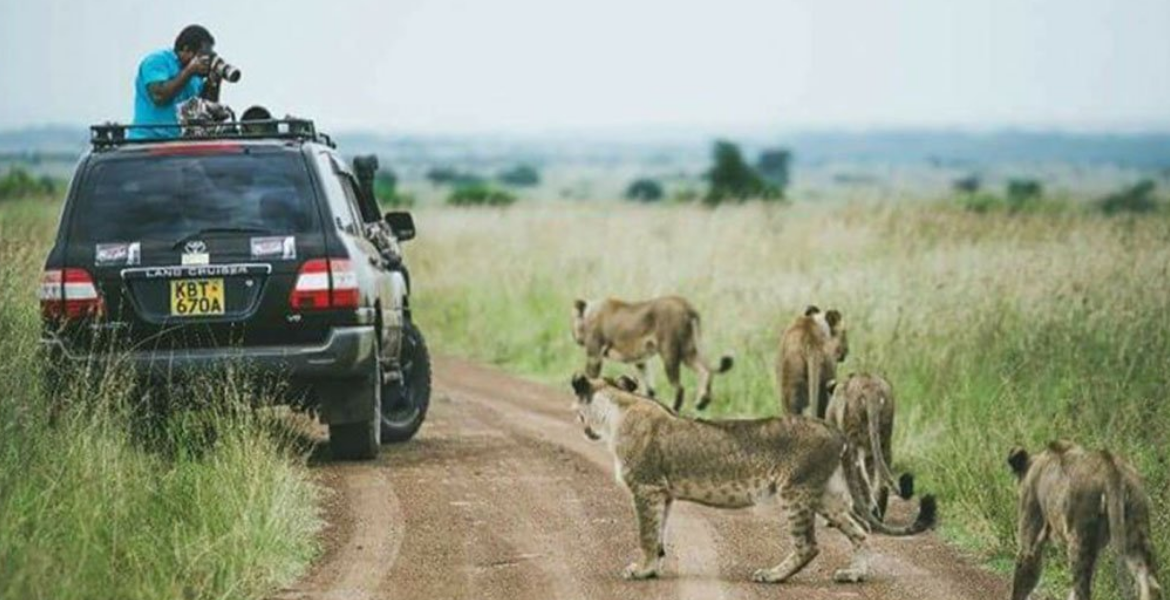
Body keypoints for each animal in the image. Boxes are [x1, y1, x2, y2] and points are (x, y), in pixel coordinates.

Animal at [571, 296, 733, 411]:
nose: (575, 338)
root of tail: (687, 305)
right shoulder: (640, 360)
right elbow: (648, 387)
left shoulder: (594, 354)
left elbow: (591, 377)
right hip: (688, 350)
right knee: (705, 370)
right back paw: (702, 402)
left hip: (670, 352)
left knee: (679, 387)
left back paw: (675, 407)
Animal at [825, 373, 913, 521]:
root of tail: (870, 388)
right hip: (883, 438)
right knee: (880, 477)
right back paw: (876, 513)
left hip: (854, 438)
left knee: (857, 474)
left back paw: (861, 511)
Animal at [1008, 441, 1163, 600]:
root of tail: (1110, 465)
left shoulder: (1032, 527)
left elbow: (1023, 571)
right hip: (1136, 531)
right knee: (1152, 585)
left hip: (1079, 538)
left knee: (1082, 590)